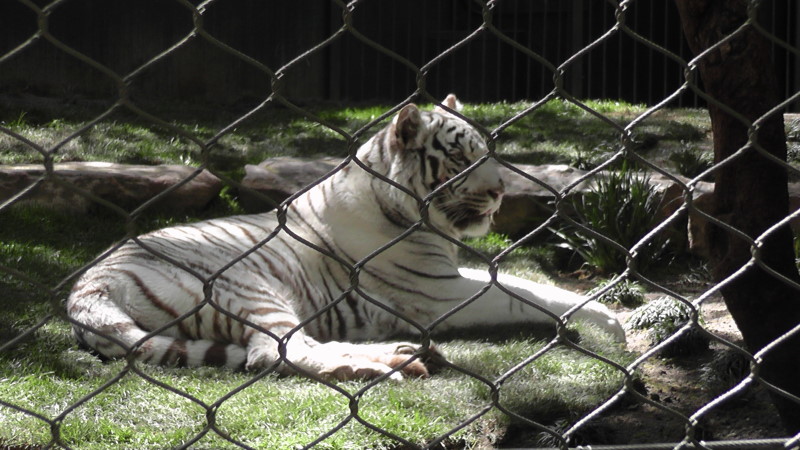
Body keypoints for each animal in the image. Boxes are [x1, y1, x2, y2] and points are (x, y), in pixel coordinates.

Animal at [66, 95, 625, 381]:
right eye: (460, 157)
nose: (499, 193)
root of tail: (86, 291)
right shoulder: (437, 293)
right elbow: (529, 296)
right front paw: (612, 326)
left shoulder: (449, 274)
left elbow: (535, 285)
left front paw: (608, 317)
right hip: (249, 287)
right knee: (275, 352)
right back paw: (373, 366)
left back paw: (404, 356)